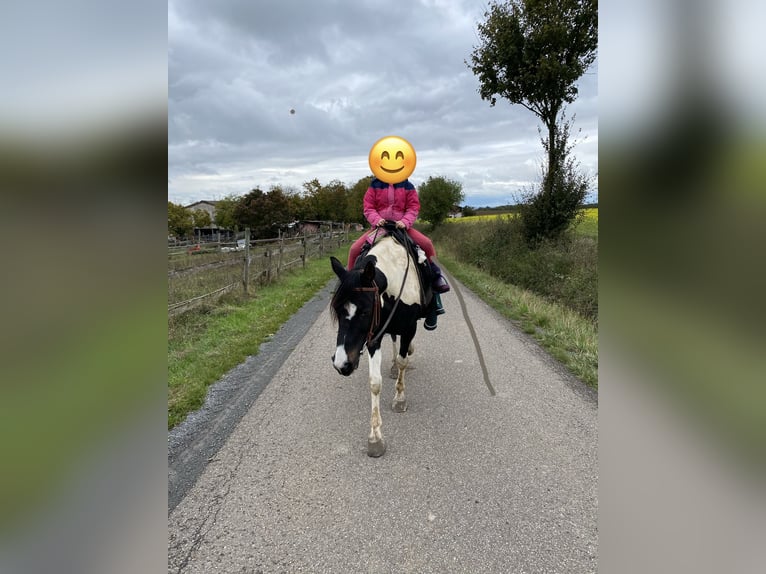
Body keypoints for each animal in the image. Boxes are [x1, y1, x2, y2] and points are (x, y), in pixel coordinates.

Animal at [329, 225, 434, 457]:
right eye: (337, 310)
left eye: (365, 310)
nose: (342, 364)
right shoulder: (373, 337)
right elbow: (374, 382)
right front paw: (375, 438)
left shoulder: (409, 328)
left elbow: (404, 360)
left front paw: (400, 399)